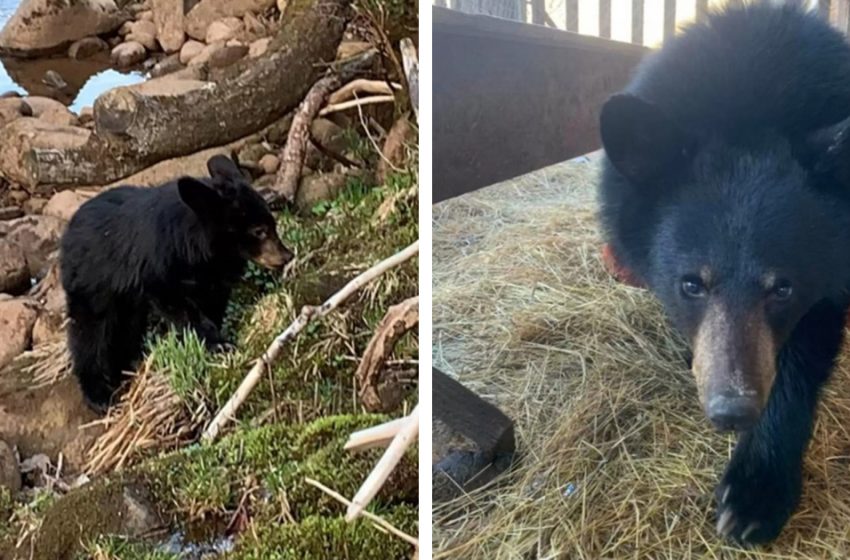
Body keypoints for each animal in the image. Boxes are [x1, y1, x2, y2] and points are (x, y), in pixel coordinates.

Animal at [59, 155, 292, 414]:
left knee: (126, 328)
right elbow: (181, 307)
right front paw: (218, 343)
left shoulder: (213, 277)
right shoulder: (161, 268)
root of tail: (68, 231)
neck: (203, 250)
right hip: (94, 284)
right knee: (90, 332)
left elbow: (213, 303)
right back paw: (99, 394)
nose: (287, 256)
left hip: (125, 300)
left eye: (272, 224)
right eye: (259, 231)